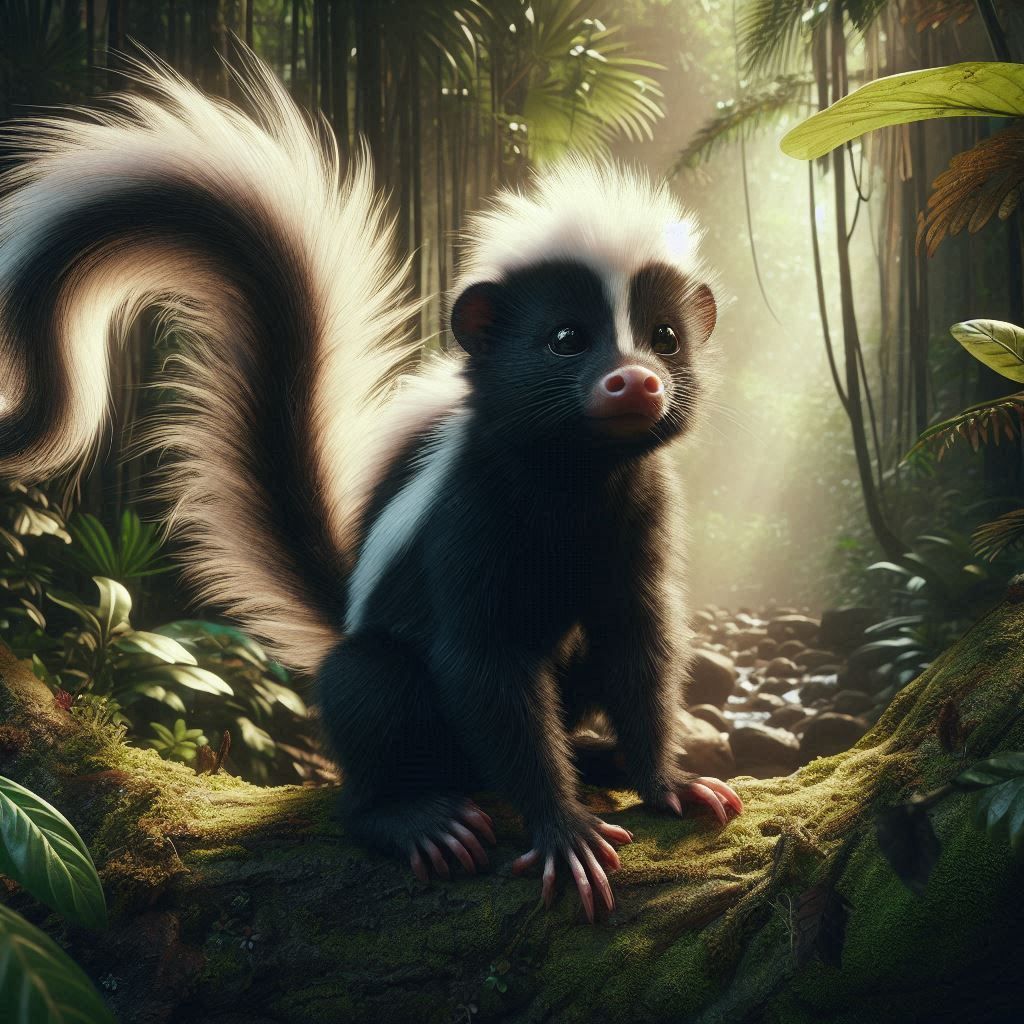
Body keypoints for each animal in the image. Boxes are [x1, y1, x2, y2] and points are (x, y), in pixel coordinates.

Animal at [0, 53, 742, 923]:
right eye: (565, 339)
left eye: (665, 338)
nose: (636, 382)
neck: (574, 482)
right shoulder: (469, 521)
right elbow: (485, 665)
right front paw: (565, 832)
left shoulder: (641, 513)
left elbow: (639, 645)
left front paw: (668, 781)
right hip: (380, 680)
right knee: (368, 694)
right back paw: (419, 818)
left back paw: (598, 758)